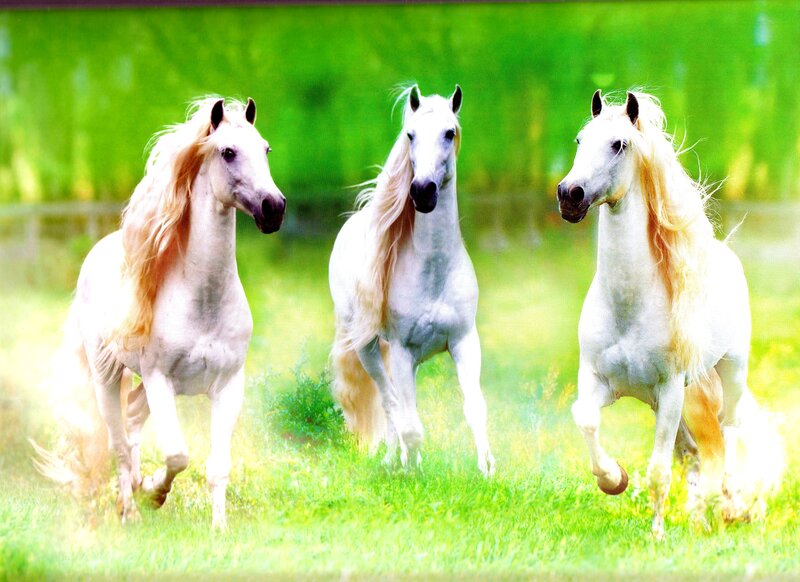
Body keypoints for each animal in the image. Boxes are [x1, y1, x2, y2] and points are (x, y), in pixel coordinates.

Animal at [33, 97, 286, 531]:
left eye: (266, 149)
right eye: (228, 152)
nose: (274, 209)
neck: (203, 300)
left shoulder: (228, 386)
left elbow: (218, 465)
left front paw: (219, 529)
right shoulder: (159, 379)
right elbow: (177, 455)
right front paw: (155, 493)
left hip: (147, 389)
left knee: (133, 419)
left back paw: (134, 488)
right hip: (108, 376)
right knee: (118, 441)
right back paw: (129, 509)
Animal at [328, 85, 495, 476]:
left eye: (449, 132)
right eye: (410, 135)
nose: (422, 191)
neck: (433, 271)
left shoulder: (464, 342)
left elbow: (475, 408)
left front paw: (487, 470)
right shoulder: (402, 351)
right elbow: (409, 423)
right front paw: (413, 470)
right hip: (369, 348)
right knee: (390, 403)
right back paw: (394, 460)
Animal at [557, 90, 785, 538]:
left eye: (619, 144)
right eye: (579, 140)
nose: (569, 195)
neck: (628, 309)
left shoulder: (669, 390)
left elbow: (659, 470)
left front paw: (658, 533)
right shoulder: (598, 380)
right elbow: (587, 420)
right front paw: (614, 479)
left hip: (729, 376)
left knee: (730, 432)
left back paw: (729, 504)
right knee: (699, 451)